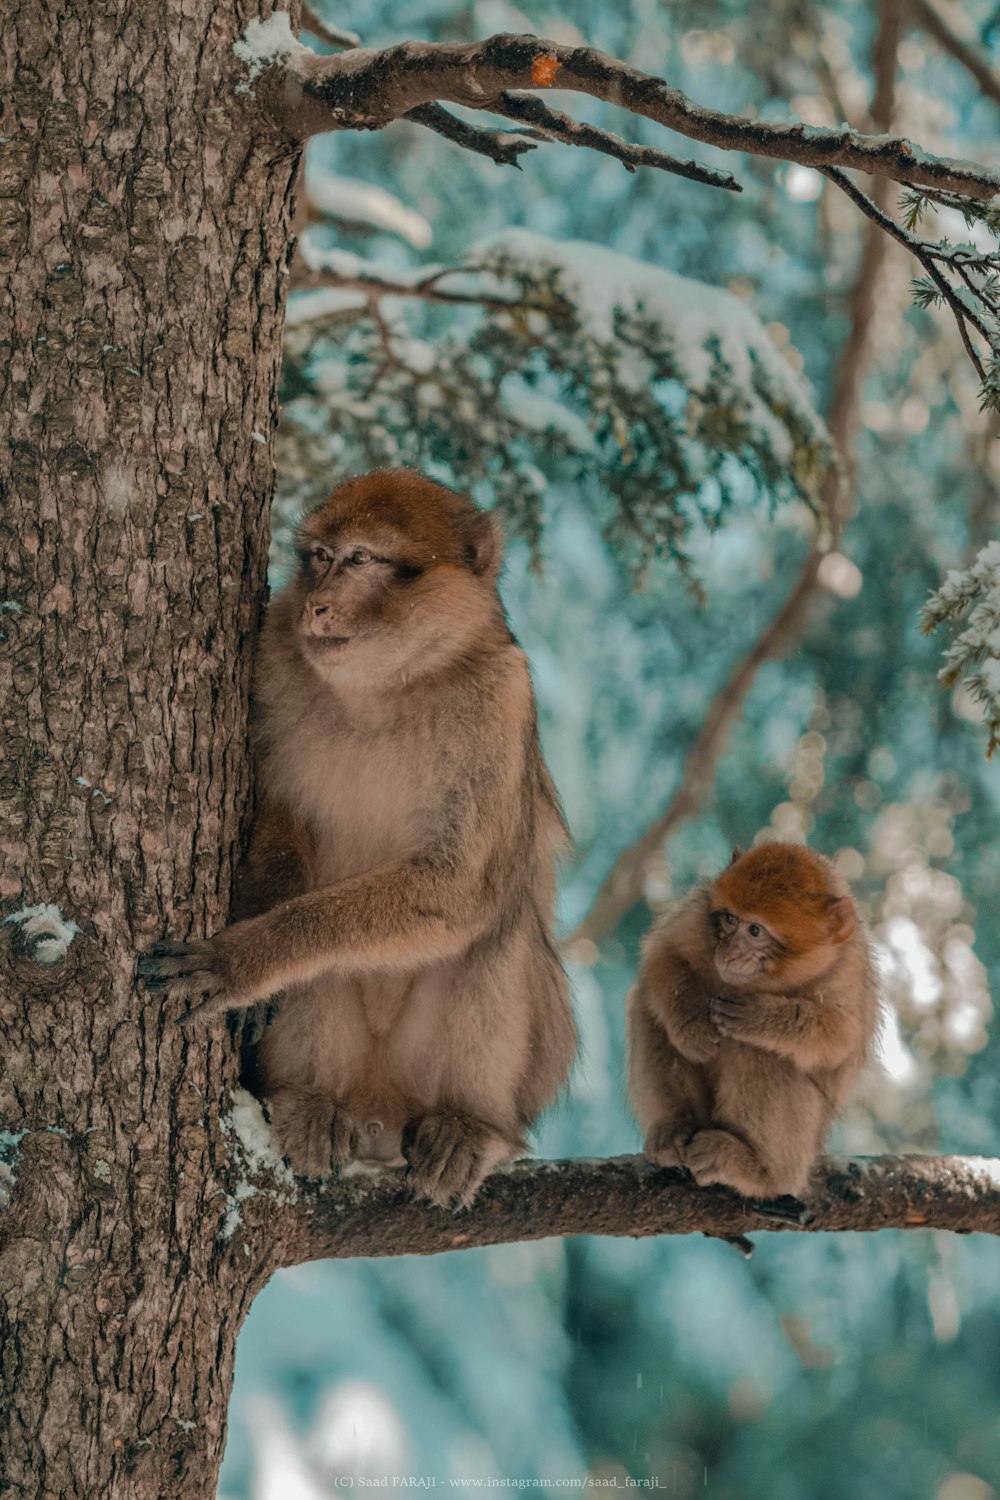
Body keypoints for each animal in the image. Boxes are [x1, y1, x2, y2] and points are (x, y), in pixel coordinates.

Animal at [142, 468, 578, 1206]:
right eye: (319, 557)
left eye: (360, 560)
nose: (317, 607)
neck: (389, 689)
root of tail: (380, 1111)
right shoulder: (273, 660)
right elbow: (280, 813)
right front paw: (260, 937)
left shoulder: (501, 701)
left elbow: (458, 887)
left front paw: (246, 959)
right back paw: (306, 1100)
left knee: (497, 931)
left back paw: (471, 1127)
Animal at [629, 840, 881, 1200]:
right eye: (729, 919)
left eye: (755, 931)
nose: (729, 953)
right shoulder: (697, 915)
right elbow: (663, 955)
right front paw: (692, 1028)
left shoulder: (847, 968)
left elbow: (840, 1037)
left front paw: (762, 1018)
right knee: (647, 1008)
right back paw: (675, 1127)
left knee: (758, 1052)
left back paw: (759, 1170)